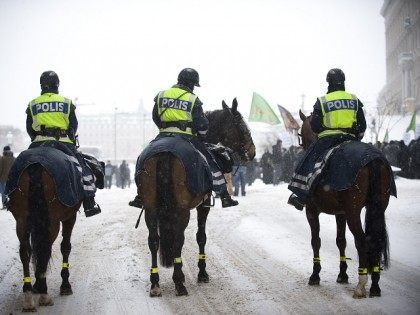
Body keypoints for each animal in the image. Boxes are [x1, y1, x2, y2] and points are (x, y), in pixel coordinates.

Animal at [6, 148, 103, 312]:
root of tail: (36, 164)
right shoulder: (69, 217)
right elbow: (65, 247)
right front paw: (64, 285)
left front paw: (37, 284)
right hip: (52, 220)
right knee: (46, 249)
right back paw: (44, 293)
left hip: (22, 219)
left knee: (25, 251)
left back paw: (28, 295)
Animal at [137, 99, 256, 298]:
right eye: (241, 126)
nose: (252, 151)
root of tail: (165, 152)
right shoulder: (204, 204)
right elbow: (201, 237)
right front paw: (202, 273)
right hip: (182, 210)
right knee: (178, 239)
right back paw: (179, 281)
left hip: (151, 208)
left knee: (153, 240)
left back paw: (155, 283)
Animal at [296, 110, 396, 298]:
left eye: (299, 134)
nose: (301, 147)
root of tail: (373, 159)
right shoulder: (340, 213)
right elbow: (341, 241)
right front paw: (342, 274)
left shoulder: (312, 210)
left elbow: (316, 241)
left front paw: (315, 275)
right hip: (376, 208)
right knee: (375, 241)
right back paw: (375, 285)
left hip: (353, 211)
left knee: (362, 241)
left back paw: (361, 284)